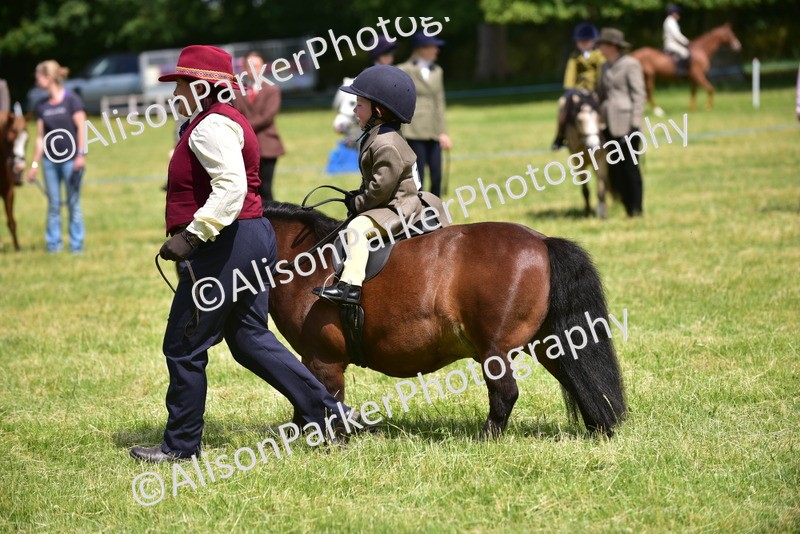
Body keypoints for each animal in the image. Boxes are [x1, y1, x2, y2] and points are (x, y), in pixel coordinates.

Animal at [263, 201, 627, 438]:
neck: (303, 260)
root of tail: (542, 241)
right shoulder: (313, 359)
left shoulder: (323, 359)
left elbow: (324, 398)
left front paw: (331, 442)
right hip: (547, 343)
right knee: (580, 377)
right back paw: (600, 427)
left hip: (494, 349)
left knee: (506, 393)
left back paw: (486, 437)